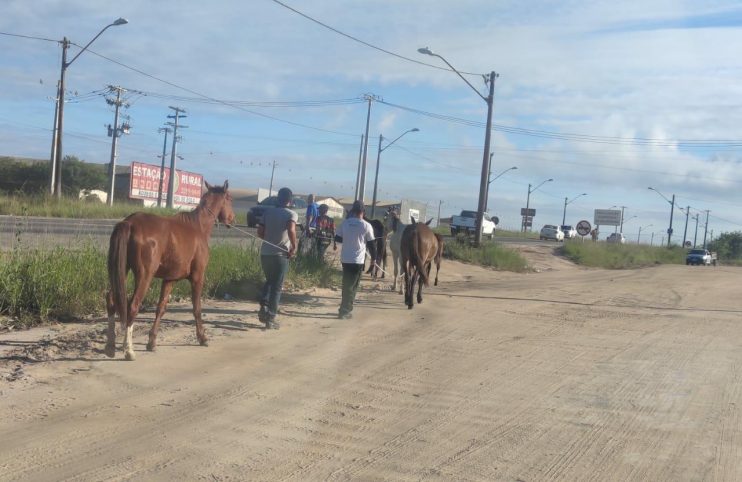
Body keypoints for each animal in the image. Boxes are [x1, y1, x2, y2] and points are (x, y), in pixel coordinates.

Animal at [106, 182, 235, 362]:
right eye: (229, 198)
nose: (232, 219)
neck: (198, 227)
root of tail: (129, 223)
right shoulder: (198, 277)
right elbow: (197, 308)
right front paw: (202, 337)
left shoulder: (169, 279)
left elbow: (161, 308)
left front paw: (152, 342)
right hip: (144, 276)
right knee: (133, 306)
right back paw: (129, 350)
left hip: (121, 271)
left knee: (111, 300)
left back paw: (110, 346)